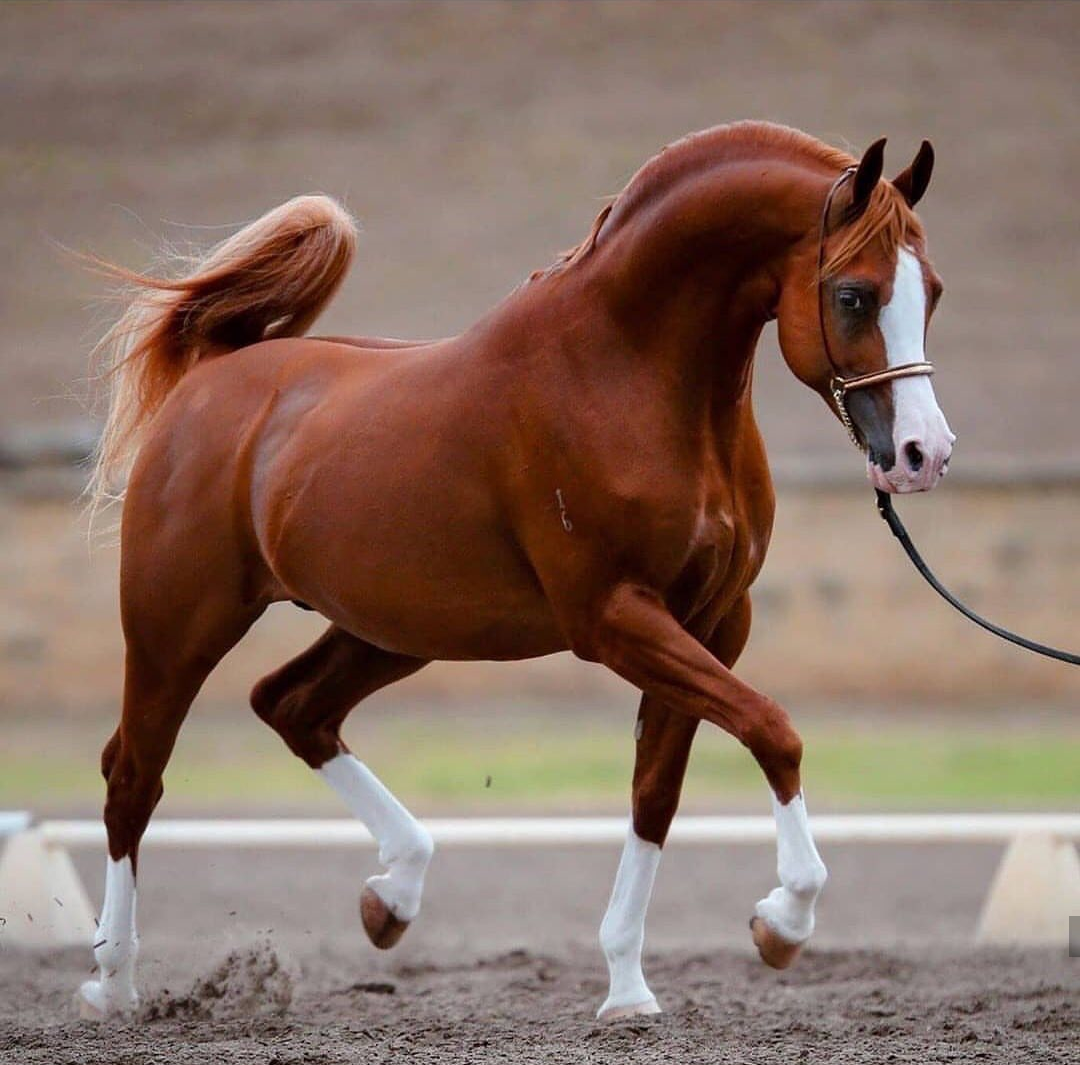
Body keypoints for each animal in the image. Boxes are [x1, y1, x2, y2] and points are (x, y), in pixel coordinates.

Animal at [78, 124, 954, 1019]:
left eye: (933, 292)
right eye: (853, 296)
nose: (923, 454)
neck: (626, 371)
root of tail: (214, 376)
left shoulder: (713, 622)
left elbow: (657, 791)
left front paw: (629, 988)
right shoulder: (614, 618)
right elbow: (773, 729)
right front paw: (784, 918)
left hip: (393, 630)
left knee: (290, 706)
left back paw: (394, 892)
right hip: (178, 629)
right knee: (133, 777)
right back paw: (113, 985)